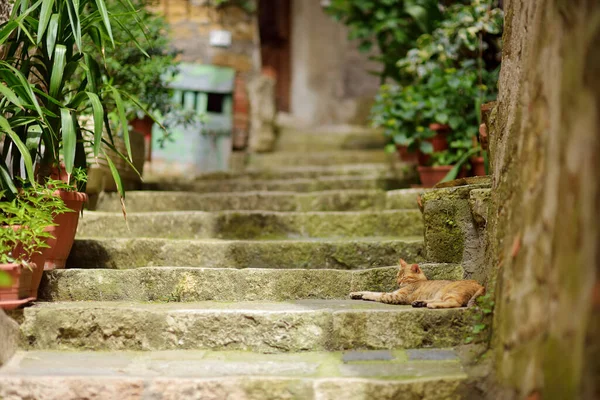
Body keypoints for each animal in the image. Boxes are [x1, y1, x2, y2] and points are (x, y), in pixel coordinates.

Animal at [350, 260, 486, 310]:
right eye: (398, 276)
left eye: (404, 277)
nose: (398, 282)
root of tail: (478, 283)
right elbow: (371, 291)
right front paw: (357, 293)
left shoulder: (397, 296)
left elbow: (379, 295)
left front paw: (366, 296)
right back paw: (420, 302)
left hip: (451, 292)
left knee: (454, 303)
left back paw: (430, 305)